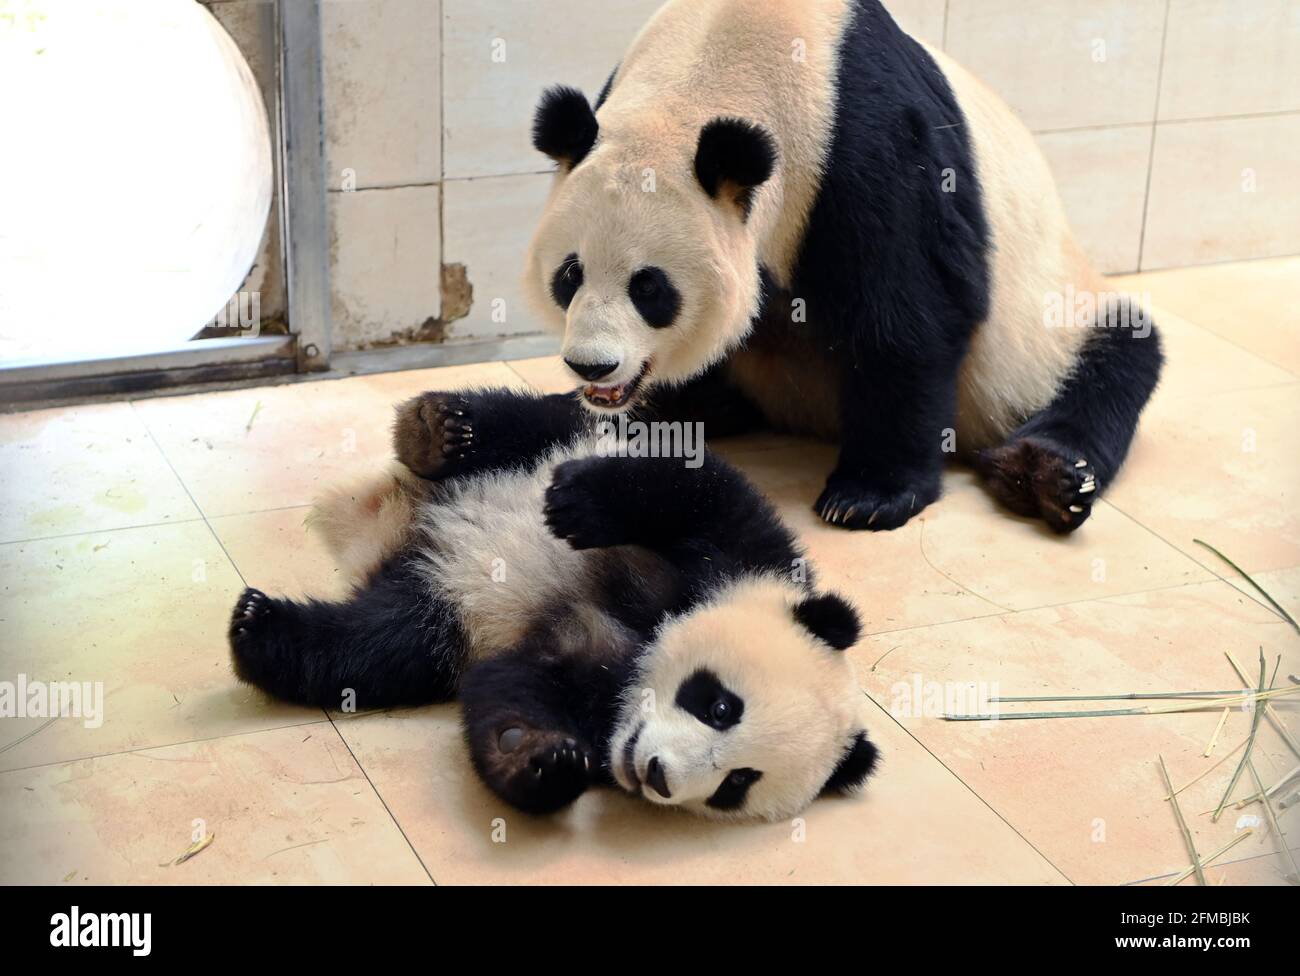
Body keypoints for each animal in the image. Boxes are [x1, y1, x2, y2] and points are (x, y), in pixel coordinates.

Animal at [228, 384, 878, 821]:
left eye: (736, 784)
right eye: (720, 706)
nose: (658, 774)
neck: (644, 647)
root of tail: (405, 522)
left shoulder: (586, 688)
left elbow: (510, 688)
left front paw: (542, 759)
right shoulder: (750, 552)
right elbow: (690, 485)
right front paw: (581, 507)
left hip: (438, 611)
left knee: (378, 645)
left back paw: (261, 629)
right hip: (558, 436)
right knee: (528, 419)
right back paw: (434, 433)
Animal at [522, 0, 1164, 535]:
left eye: (650, 287)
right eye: (570, 275)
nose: (592, 366)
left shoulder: (867, 145)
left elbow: (913, 315)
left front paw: (870, 497)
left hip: (1046, 322)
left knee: (1117, 357)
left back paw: (1044, 476)